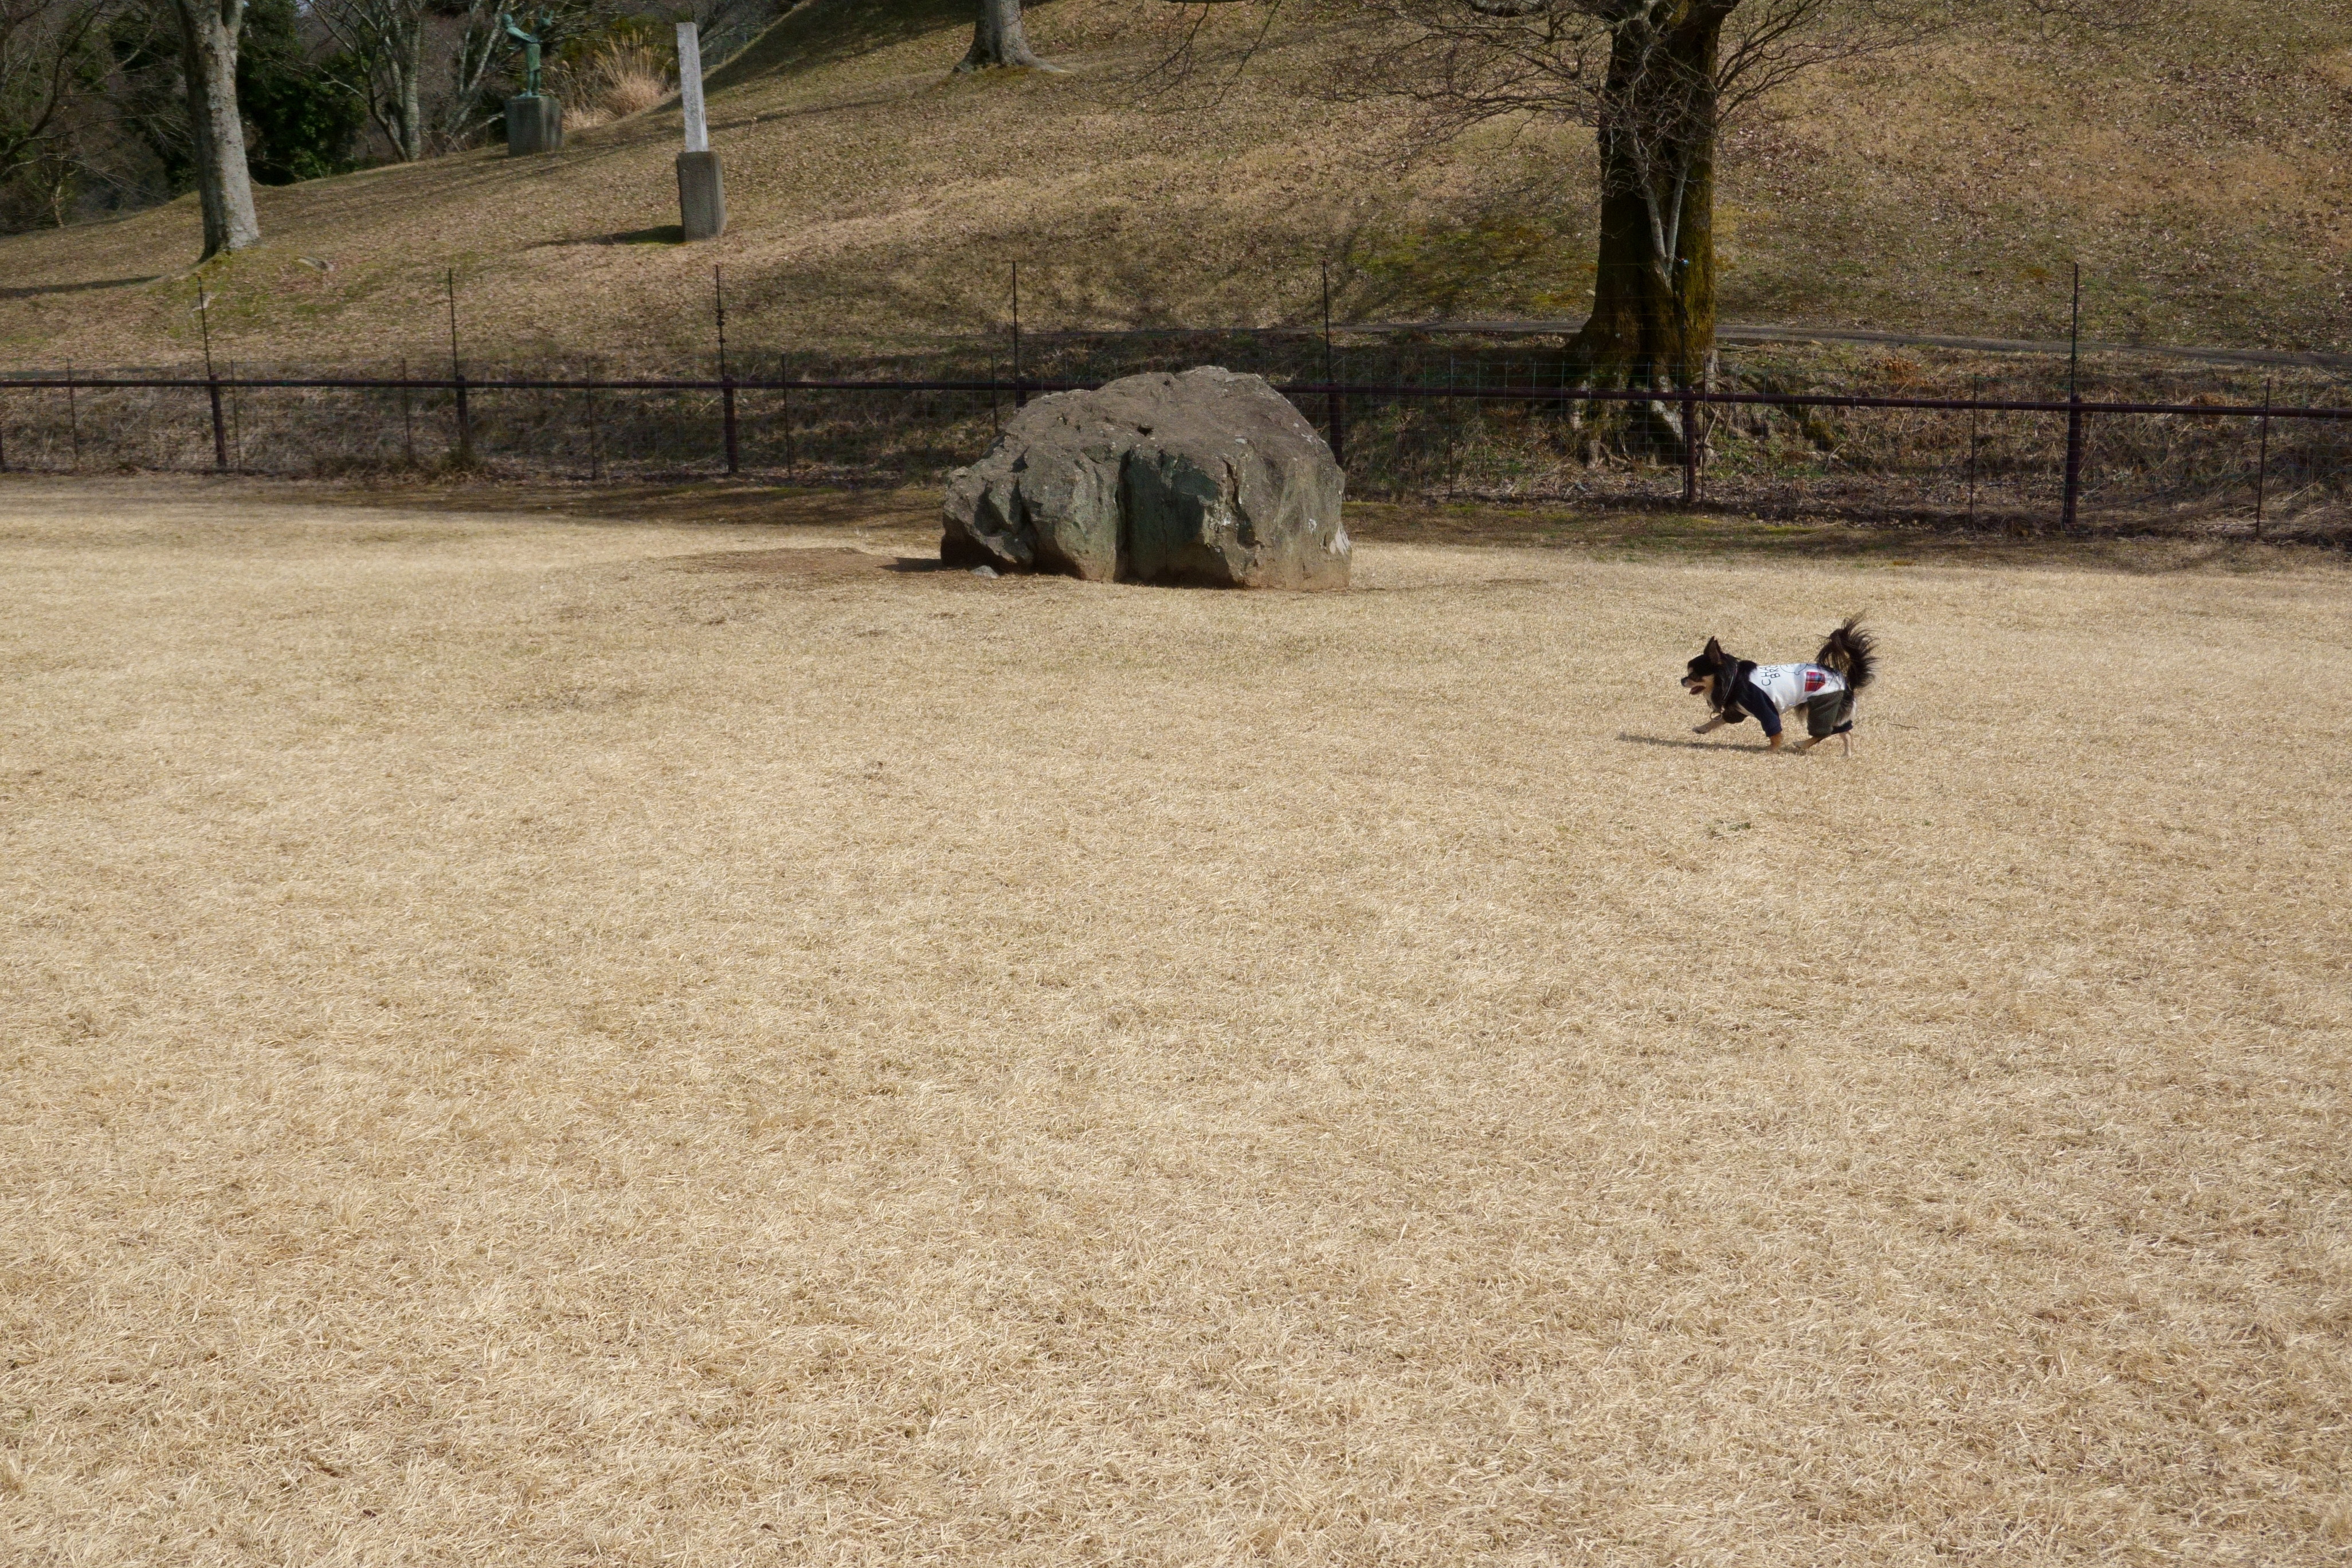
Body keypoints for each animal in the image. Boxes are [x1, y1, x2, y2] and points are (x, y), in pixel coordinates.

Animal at [1693, 620, 1872, 752]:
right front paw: (1703, 728)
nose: (1685, 680)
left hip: (1823, 706)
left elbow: (1775, 732)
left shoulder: (1764, 709)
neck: (1735, 679)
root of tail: (1846, 682)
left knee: (1824, 732)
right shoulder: (1737, 711)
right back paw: (1847, 755)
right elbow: (1720, 720)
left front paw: (1772, 750)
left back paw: (1802, 744)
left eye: (1693, 675)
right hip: (1835, 712)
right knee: (1845, 733)